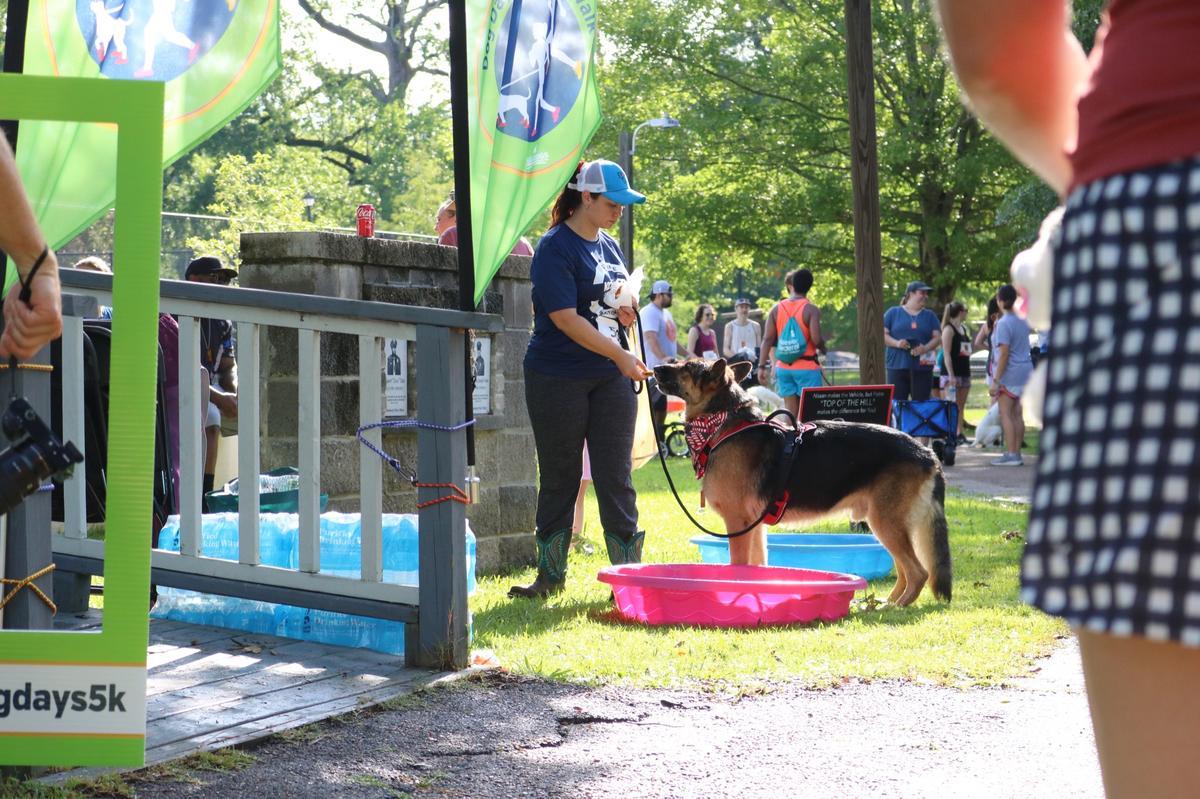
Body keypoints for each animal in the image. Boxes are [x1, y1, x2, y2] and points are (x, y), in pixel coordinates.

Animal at [652, 355, 950, 604]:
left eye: (687, 366)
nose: (654, 368)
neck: (723, 422)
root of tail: (927, 453)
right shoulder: (755, 527)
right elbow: (758, 567)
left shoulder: (738, 523)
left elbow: (739, 566)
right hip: (887, 524)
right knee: (905, 571)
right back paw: (882, 603)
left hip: (886, 523)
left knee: (918, 572)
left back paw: (896, 606)